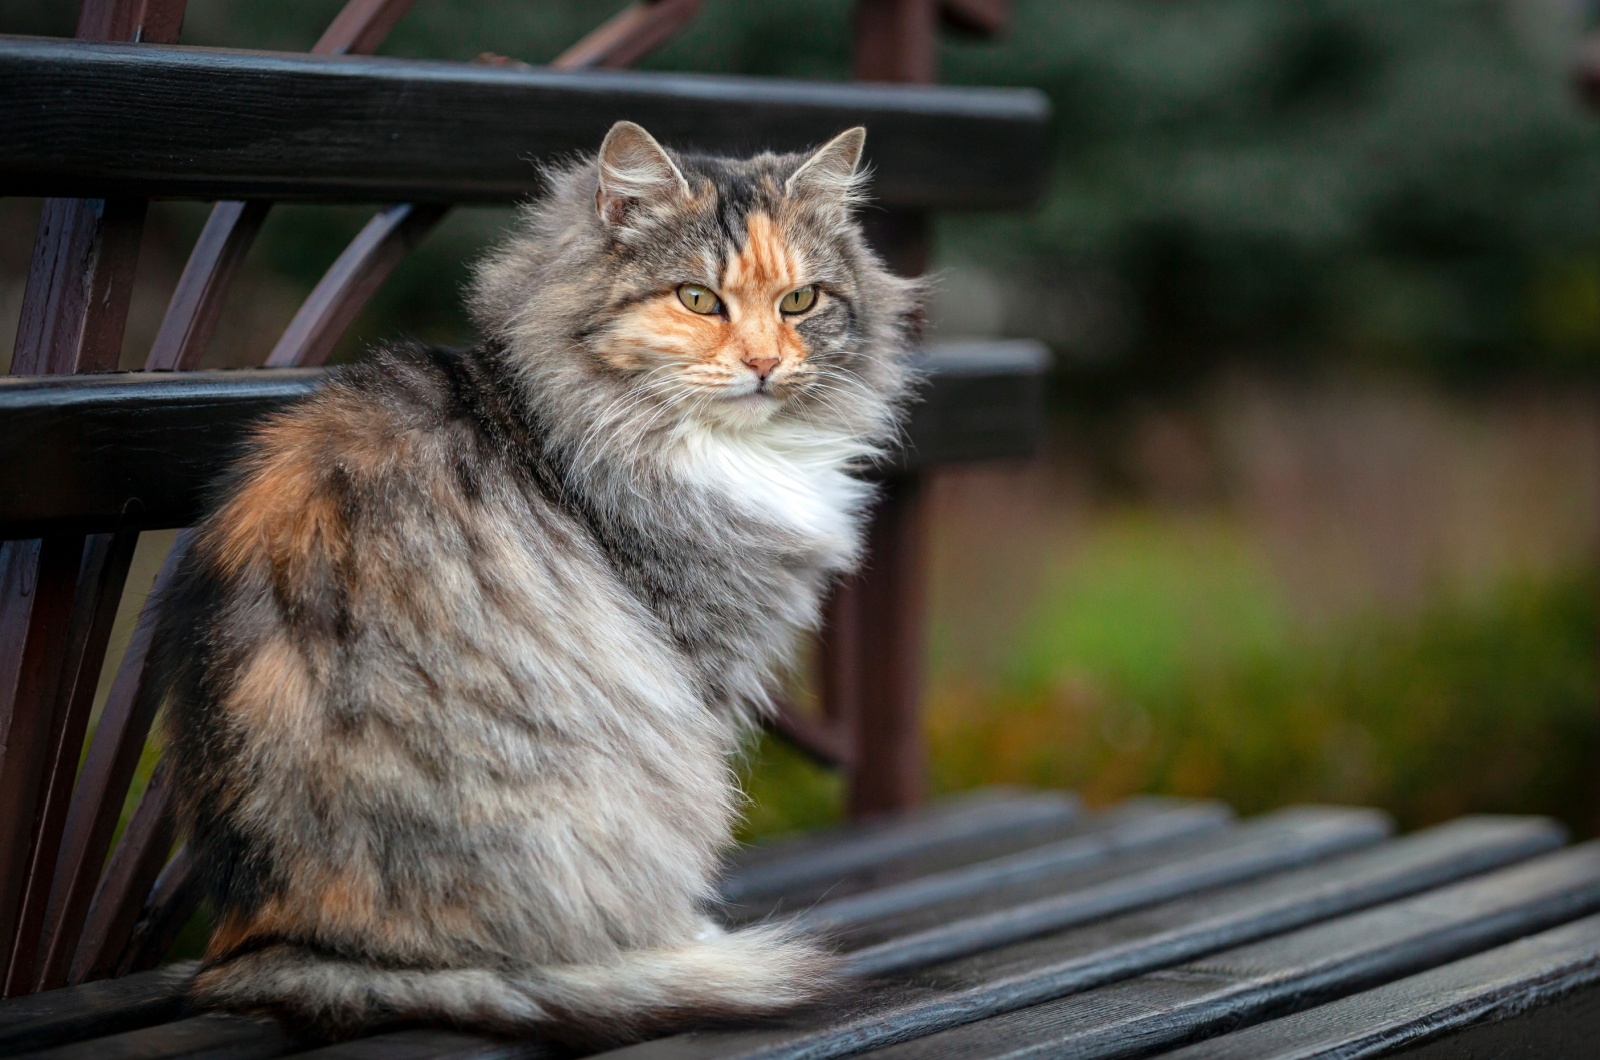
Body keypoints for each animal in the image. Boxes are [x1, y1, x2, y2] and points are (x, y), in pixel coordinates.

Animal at [151, 118, 928, 1043]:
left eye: (801, 302)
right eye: (698, 300)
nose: (767, 365)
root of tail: (282, 940)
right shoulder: (695, 667)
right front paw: (690, 932)